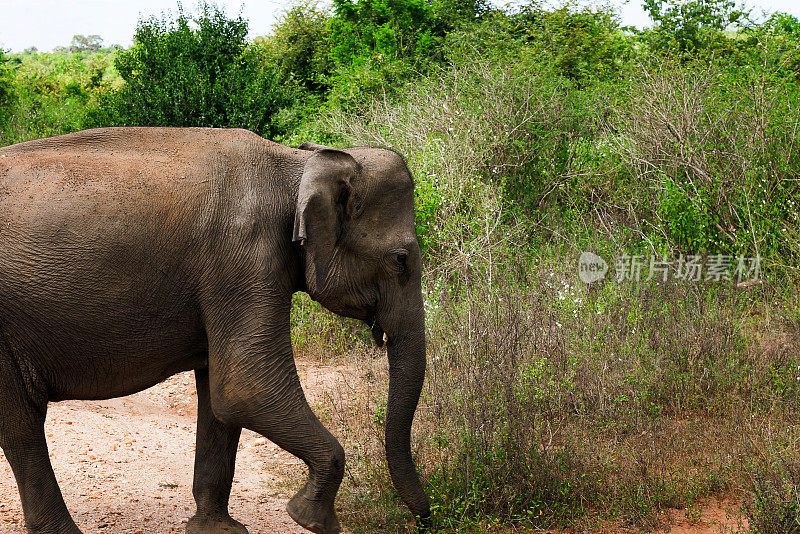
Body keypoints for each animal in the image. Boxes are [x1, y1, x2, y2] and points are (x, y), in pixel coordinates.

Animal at [0, 127, 432, 532]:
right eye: (401, 259)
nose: (426, 519)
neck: (298, 163)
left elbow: (220, 399)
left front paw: (218, 529)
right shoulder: (245, 256)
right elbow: (246, 388)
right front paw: (310, 520)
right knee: (21, 424)